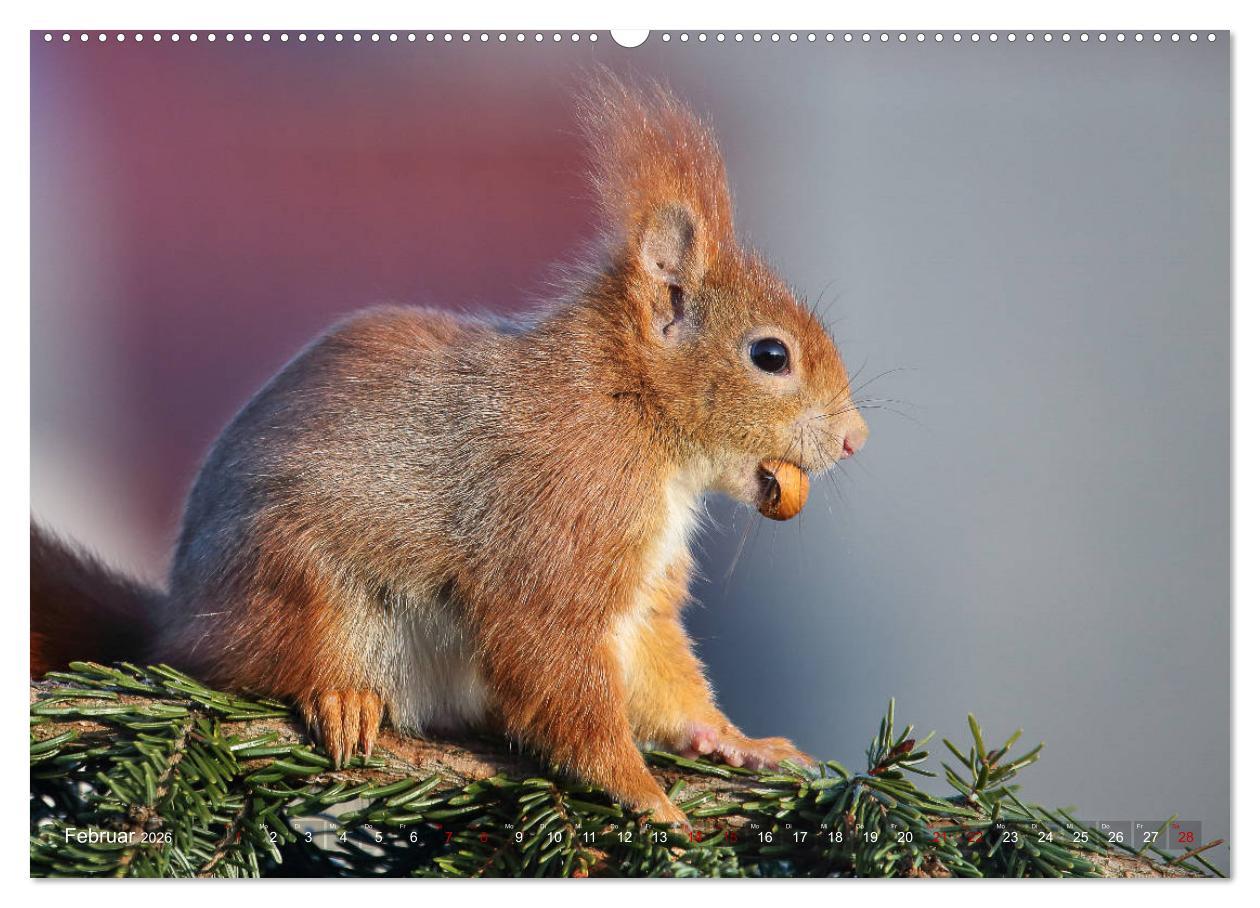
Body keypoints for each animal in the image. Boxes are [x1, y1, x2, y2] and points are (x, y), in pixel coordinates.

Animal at [30, 76, 869, 828]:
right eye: (770, 356)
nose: (856, 439)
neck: (632, 414)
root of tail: (177, 619)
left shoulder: (642, 592)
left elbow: (660, 674)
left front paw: (737, 742)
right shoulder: (557, 528)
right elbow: (558, 662)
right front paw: (644, 793)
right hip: (299, 588)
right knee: (257, 671)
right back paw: (341, 698)